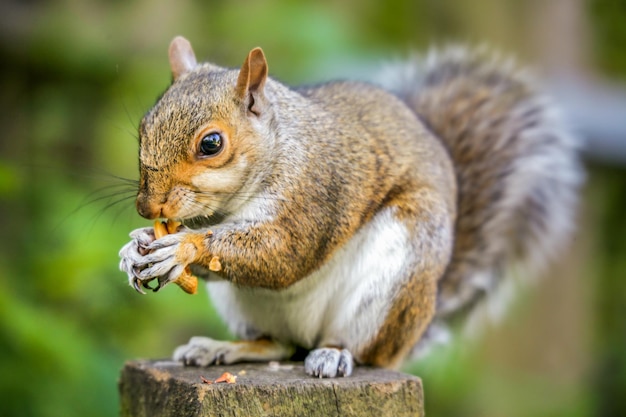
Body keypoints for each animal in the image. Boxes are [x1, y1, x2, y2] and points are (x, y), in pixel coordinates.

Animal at [118, 36, 580, 376]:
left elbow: (284, 253)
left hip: (398, 274)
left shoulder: (317, 191)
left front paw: (183, 247)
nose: (146, 207)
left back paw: (335, 354)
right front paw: (135, 247)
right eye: (144, 126)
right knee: (279, 344)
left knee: (363, 350)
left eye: (211, 144)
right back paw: (222, 348)